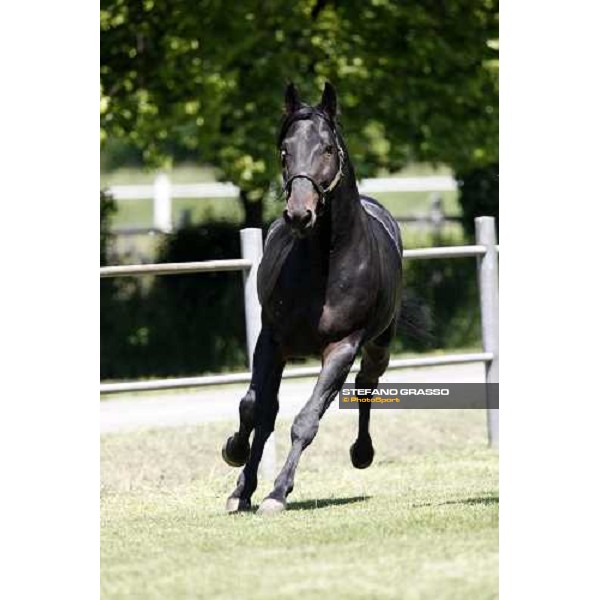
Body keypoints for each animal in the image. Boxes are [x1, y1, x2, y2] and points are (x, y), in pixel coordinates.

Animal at [221, 83, 404, 516]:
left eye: (327, 149)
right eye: (284, 151)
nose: (299, 214)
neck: (325, 266)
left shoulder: (341, 348)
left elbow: (306, 421)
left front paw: (276, 493)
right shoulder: (271, 340)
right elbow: (255, 407)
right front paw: (237, 467)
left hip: (378, 345)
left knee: (367, 383)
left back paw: (362, 453)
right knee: (265, 411)